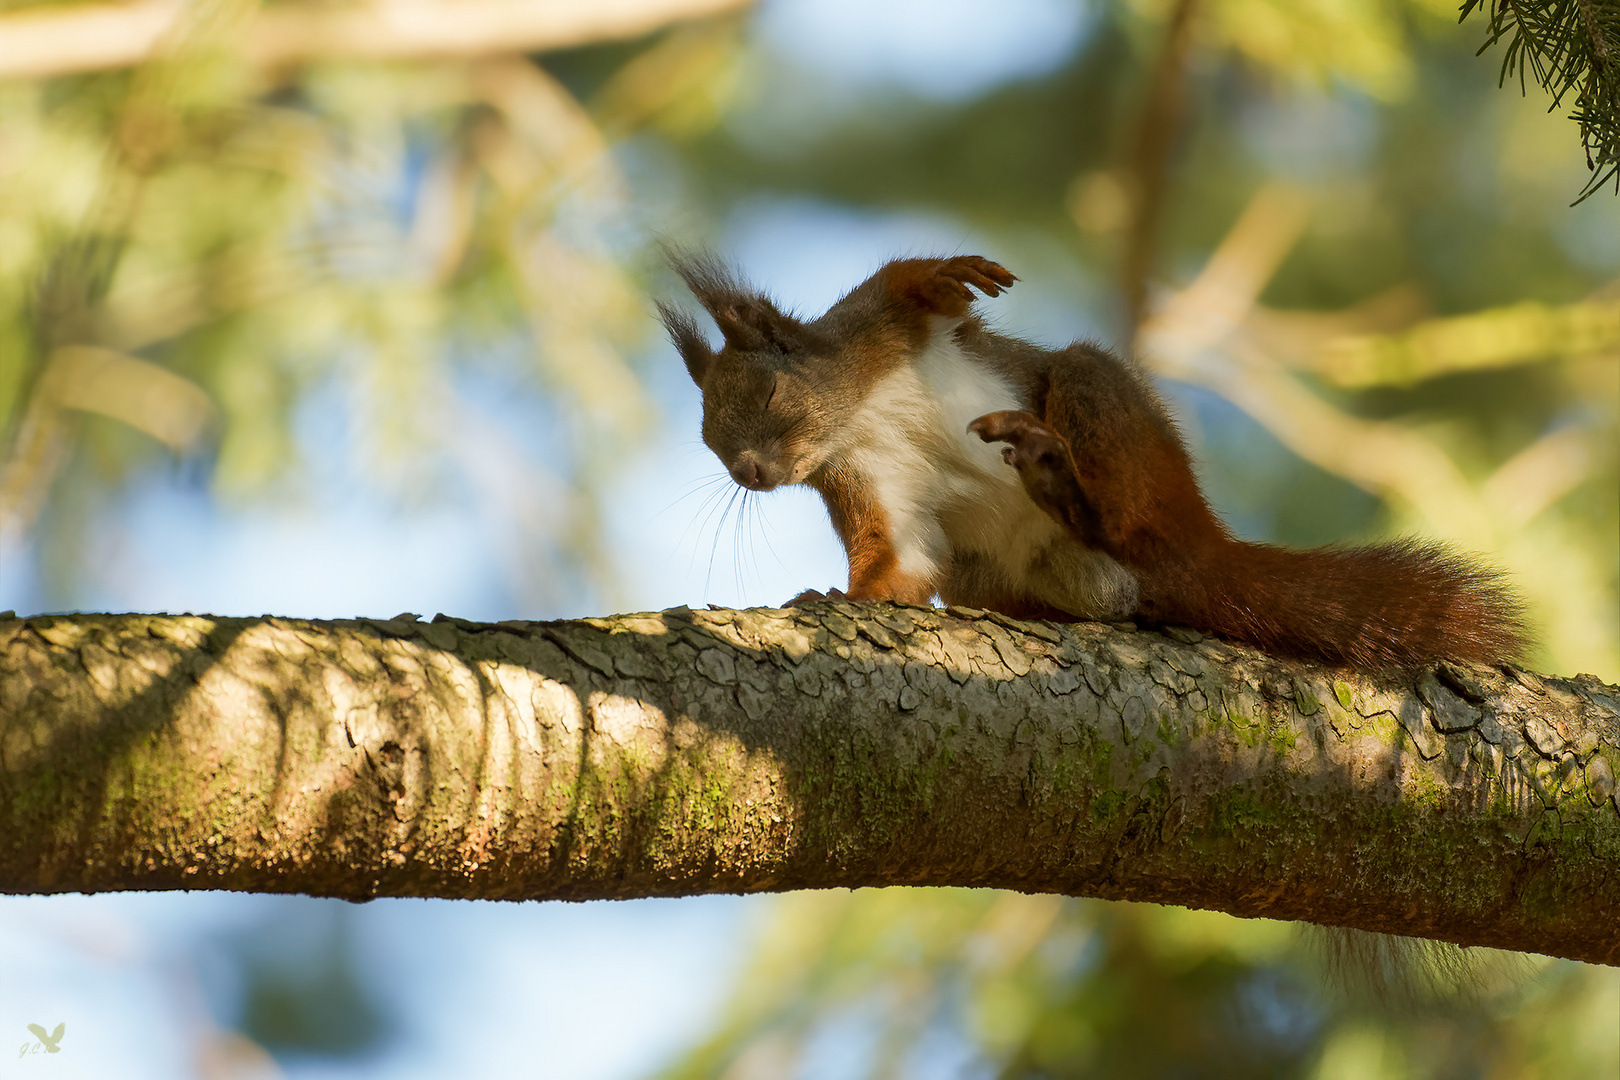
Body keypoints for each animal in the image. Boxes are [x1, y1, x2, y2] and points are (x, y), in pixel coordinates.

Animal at [654, 257, 1516, 670]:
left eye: (770, 389)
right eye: (712, 447)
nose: (751, 474)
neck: (855, 418)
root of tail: (1204, 549)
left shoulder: (879, 326)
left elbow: (911, 285)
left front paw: (951, 271)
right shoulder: (867, 486)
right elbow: (901, 560)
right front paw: (837, 596)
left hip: (1104, 410)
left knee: (1123, 513)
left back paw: (1056, 475)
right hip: (1010, 576)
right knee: (1114, 592)